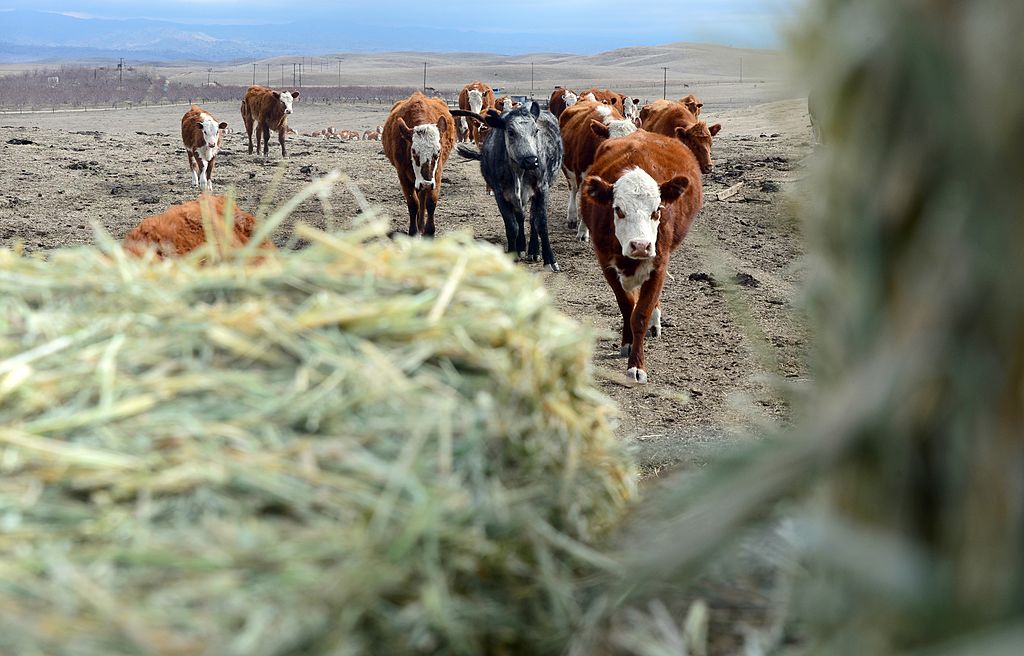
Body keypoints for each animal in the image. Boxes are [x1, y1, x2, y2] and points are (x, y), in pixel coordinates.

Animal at [382, 91, 454, 236]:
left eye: (438, 152)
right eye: (414, 151)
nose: (426, 184)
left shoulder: (436, 175)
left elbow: (431, 202)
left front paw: (430, 231)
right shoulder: (403, 175)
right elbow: (413, 203)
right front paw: (413, 231)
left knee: (423, 197)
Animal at [454, 102, 565, 270]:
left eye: (536, 131)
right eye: (511, 132)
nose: (532, 160)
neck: (518, 170)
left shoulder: (542, 189)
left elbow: (541, 223)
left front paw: (550, 260)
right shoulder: (500, 194)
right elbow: (512, 226)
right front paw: (513, 253)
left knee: (532, 219)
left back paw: (534, 251)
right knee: (521, 218)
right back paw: (521, 248)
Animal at [557, 102, 634, 243]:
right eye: (610, 146)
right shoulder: (583, 176)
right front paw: (583, 232)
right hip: (567, 168)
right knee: (573, 189)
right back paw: (572, 218)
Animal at [585, 129, 704, 380]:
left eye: (657, 210)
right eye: (618, 210)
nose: (640, 245)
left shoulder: (658, 264)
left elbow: (641, 314)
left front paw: (637, 366)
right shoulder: (606, 263)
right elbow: (627, 305)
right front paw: (627, 343)